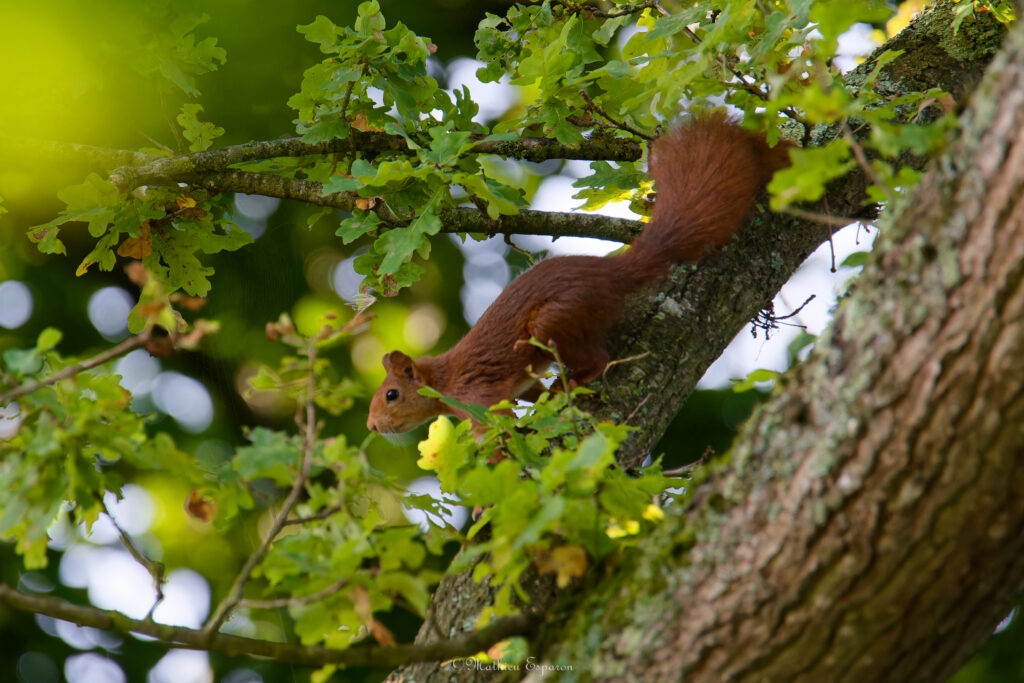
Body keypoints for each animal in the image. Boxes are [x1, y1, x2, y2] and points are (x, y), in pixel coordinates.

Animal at [368, 111, 790, 432]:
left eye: (392, 394)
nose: (373, 426)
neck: (441, 379)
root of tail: (613, 273)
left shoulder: (475, 395)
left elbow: (495, 428)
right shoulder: (518, 383)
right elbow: (528, 392)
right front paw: (541, 401)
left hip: (557, 319)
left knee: (598, 359)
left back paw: (575, 380)